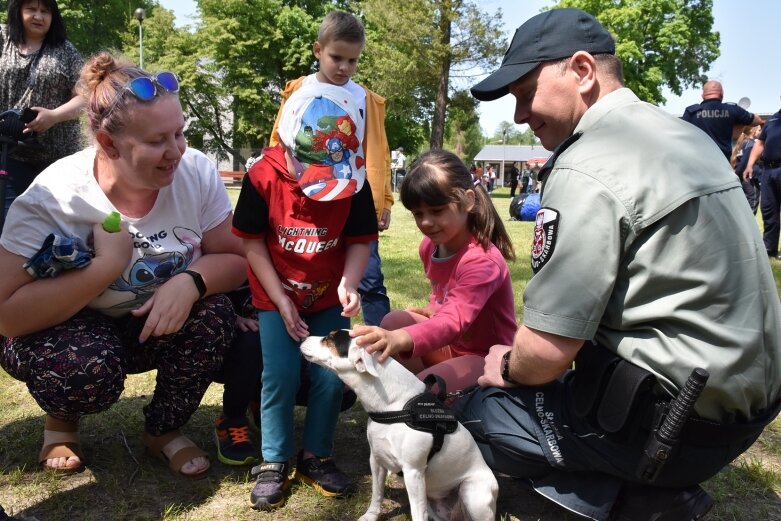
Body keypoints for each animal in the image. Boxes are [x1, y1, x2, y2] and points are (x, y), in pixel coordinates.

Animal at [298, 330, 500, 520]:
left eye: (329, 339)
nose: (303, 337)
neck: (395, 406)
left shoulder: (413, 472)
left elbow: (417, 513)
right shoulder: (377, 460)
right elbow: (377, 493)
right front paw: (371, 515)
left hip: (473, 494)